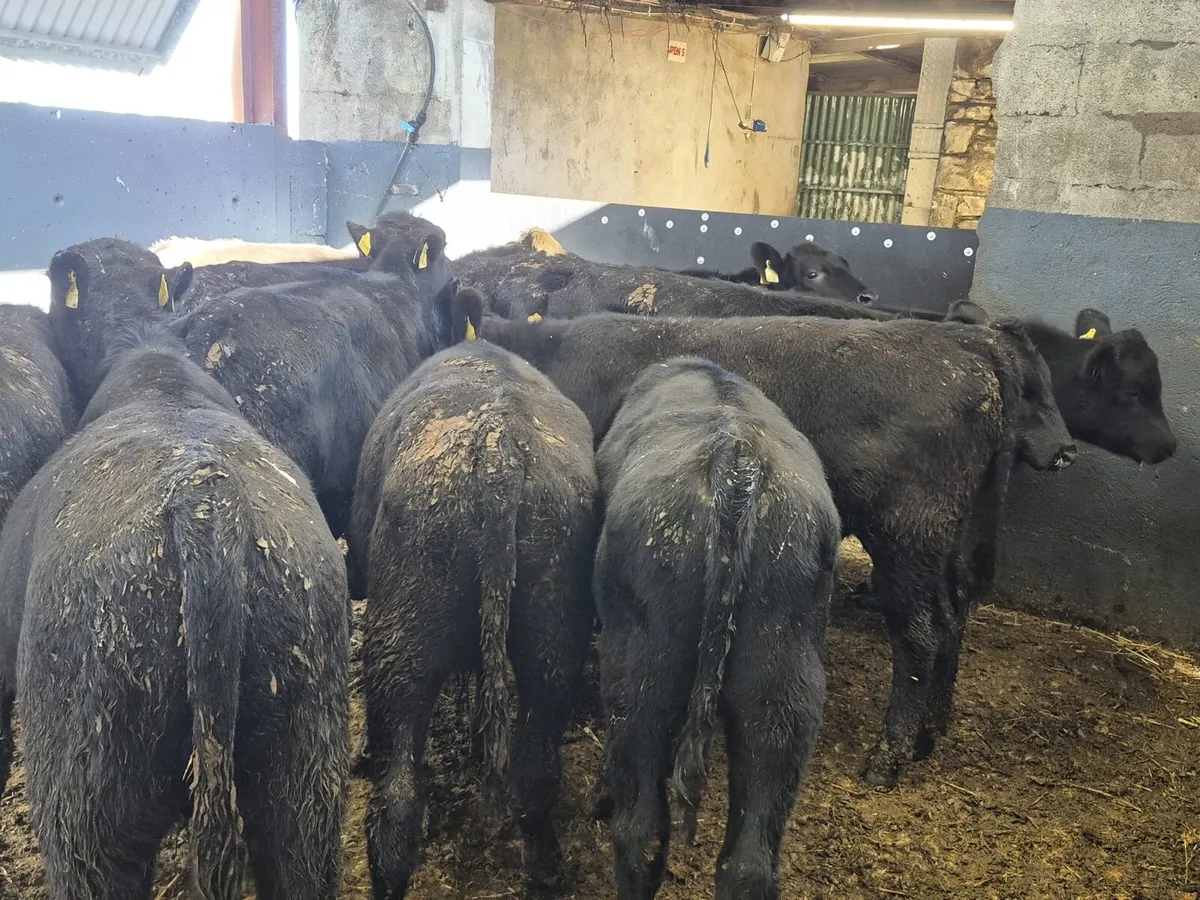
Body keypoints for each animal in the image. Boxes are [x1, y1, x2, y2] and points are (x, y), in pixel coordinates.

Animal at [346, 297, 598, 897]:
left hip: (401, 650)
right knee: (534, 773)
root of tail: (500, 451)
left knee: (395, 810)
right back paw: (546, 872)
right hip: (554, 646)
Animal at [480, 311, 1076, 788]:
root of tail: (970, 351)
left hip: (907, 536)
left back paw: (888, 758)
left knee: (921, 636)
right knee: (952, 617)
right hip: (945, 539)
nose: (1066, 451)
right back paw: (931, 733)